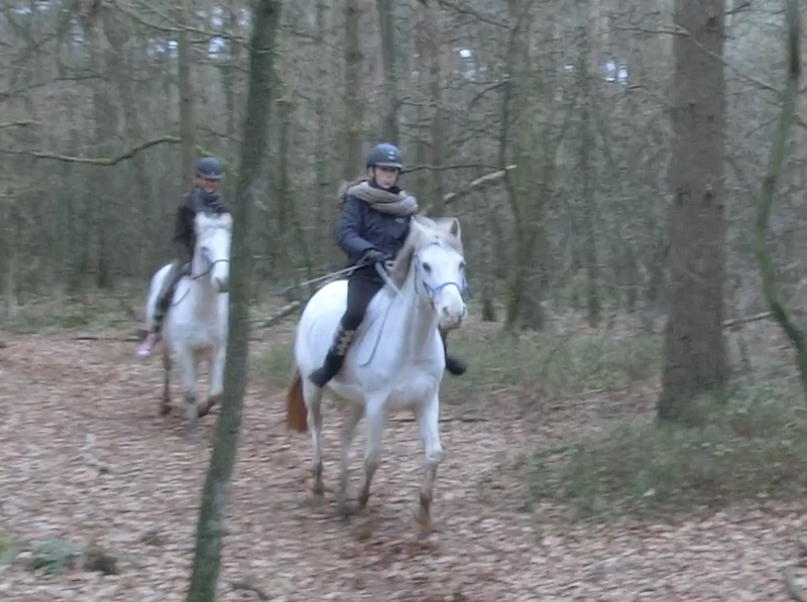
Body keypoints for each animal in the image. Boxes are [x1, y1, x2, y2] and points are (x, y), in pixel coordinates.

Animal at [143, 210, 232, 440]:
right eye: (205, 248)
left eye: (228, 245)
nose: (223, 281)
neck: (202, 308)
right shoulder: (183, 350)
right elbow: (190, 391)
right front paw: (193, 427)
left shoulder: (217, 349)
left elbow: (216, 392)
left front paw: (200, 411)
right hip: (166, 344)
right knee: (167, 367)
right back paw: (165, 405)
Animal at [284, 214, 468, 533]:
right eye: (425, 265)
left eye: (460, 264)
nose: (453, 313)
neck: (410, 345)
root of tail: (318, 295)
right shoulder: (377, 404)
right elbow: (372, 458)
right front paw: (362, 504)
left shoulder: (426, 401)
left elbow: (434, 454)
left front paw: (422, 517)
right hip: (313, 388)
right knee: (316, 426)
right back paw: (319, 488)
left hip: (356, 401)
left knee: (344, 435)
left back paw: (342, 494)